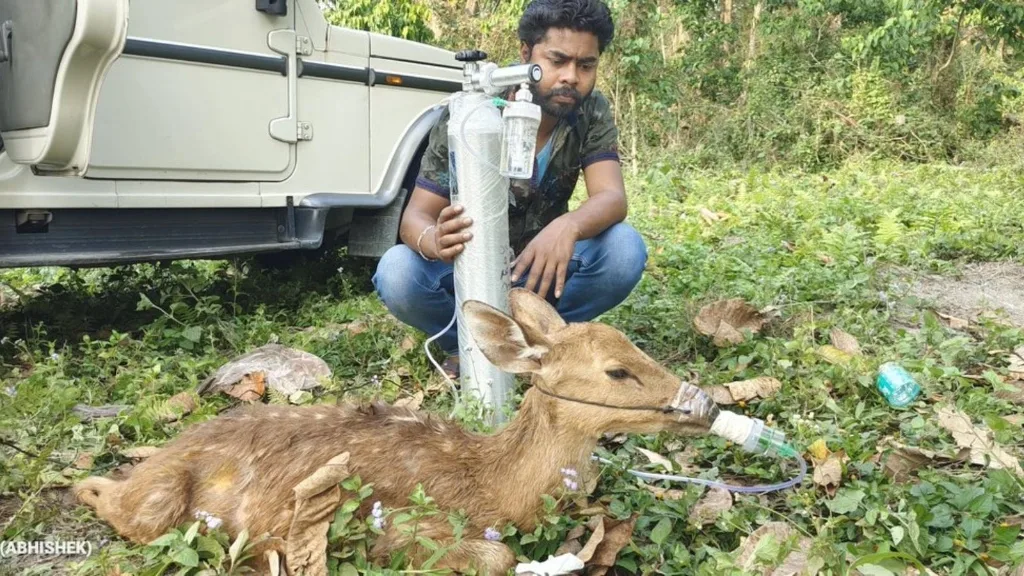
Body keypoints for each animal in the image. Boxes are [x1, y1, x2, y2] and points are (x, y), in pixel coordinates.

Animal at [73, 288, 722, 575]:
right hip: (156, 505)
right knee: (102, 495)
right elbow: (496, 555)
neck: (491, 484)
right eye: (617, 370)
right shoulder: (396, 524)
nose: (704, 403)